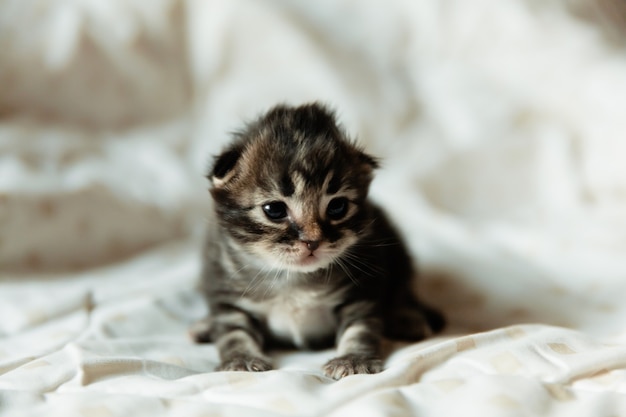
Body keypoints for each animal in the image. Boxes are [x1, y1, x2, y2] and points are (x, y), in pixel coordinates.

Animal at [193, 102, 442, 378]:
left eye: (337, 207)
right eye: (274, 210)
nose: (312, 241)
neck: (292, 278)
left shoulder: (363, 289)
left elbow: (361, 328)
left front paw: (352, 359)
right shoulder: (226, 291)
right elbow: (232, 333)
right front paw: (241, 358)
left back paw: (407, 319)